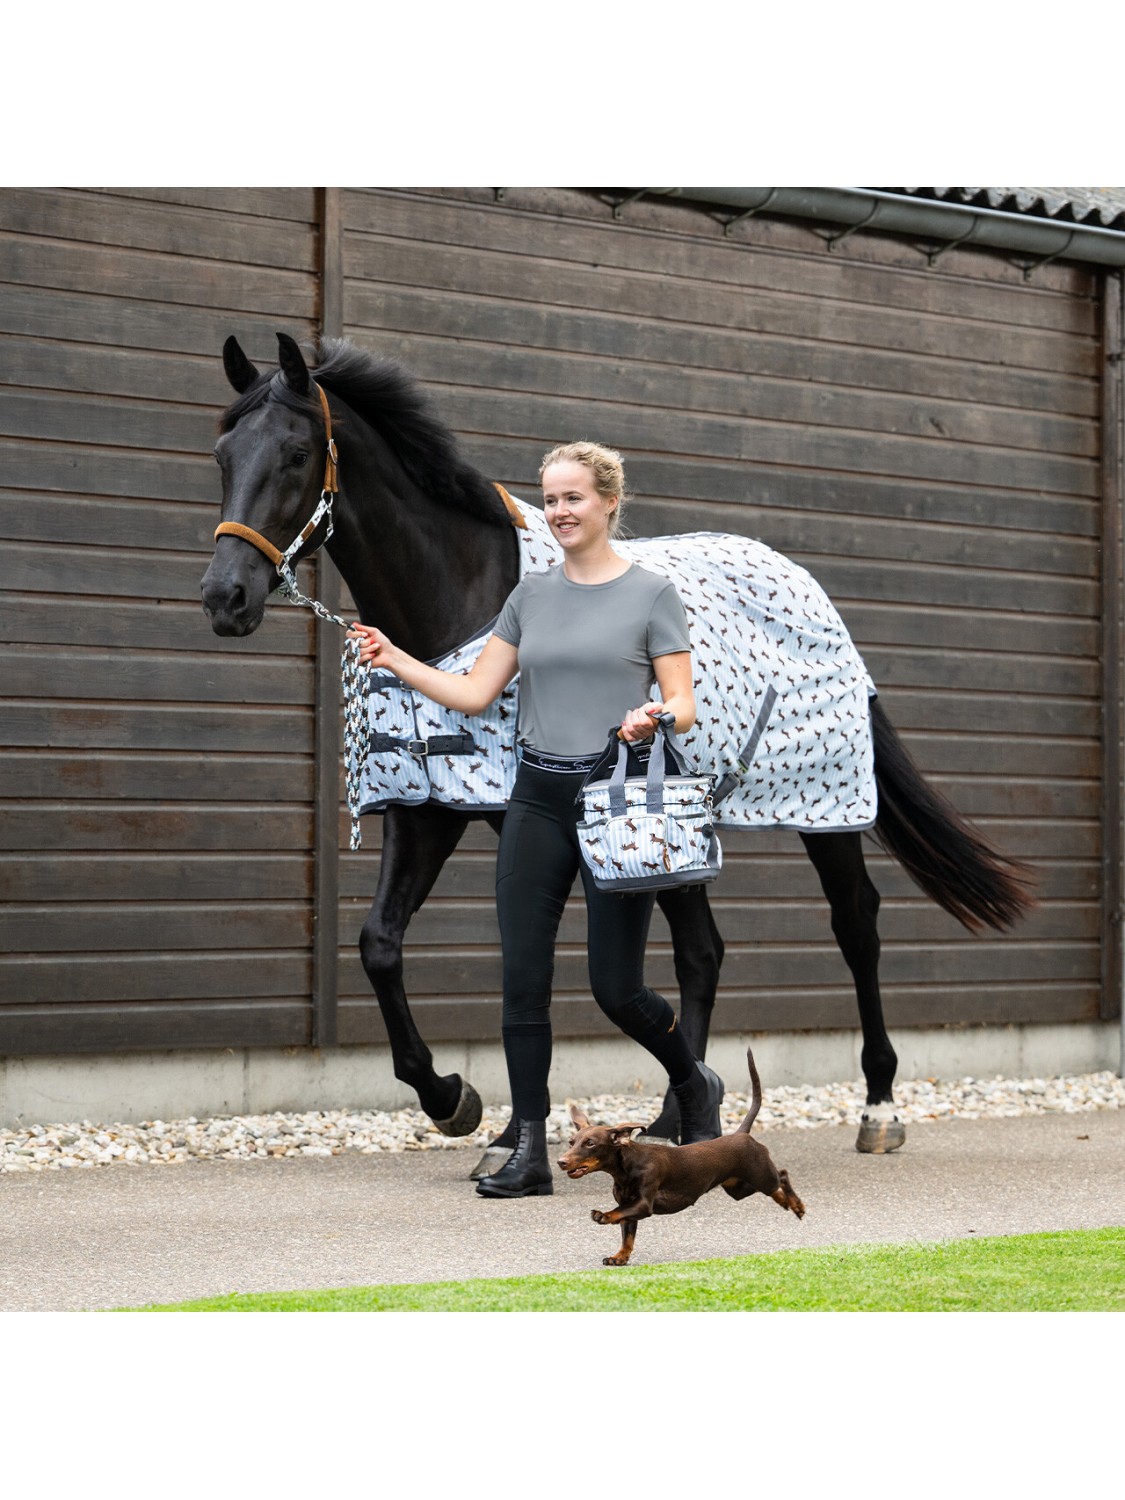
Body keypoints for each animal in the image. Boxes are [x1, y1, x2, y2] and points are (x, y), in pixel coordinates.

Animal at [200, 331, 1034, 1163]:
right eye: (222, 454)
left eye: (297, 453)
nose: (223, 598)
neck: (464, 600)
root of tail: (803, 584)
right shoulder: (430, 807)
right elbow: (382, 944)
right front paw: (455, 1103)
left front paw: (489, 1120)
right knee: (704, 952)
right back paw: (674, 1118)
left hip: (823, 808)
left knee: (854, 922)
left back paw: (877, 1106)